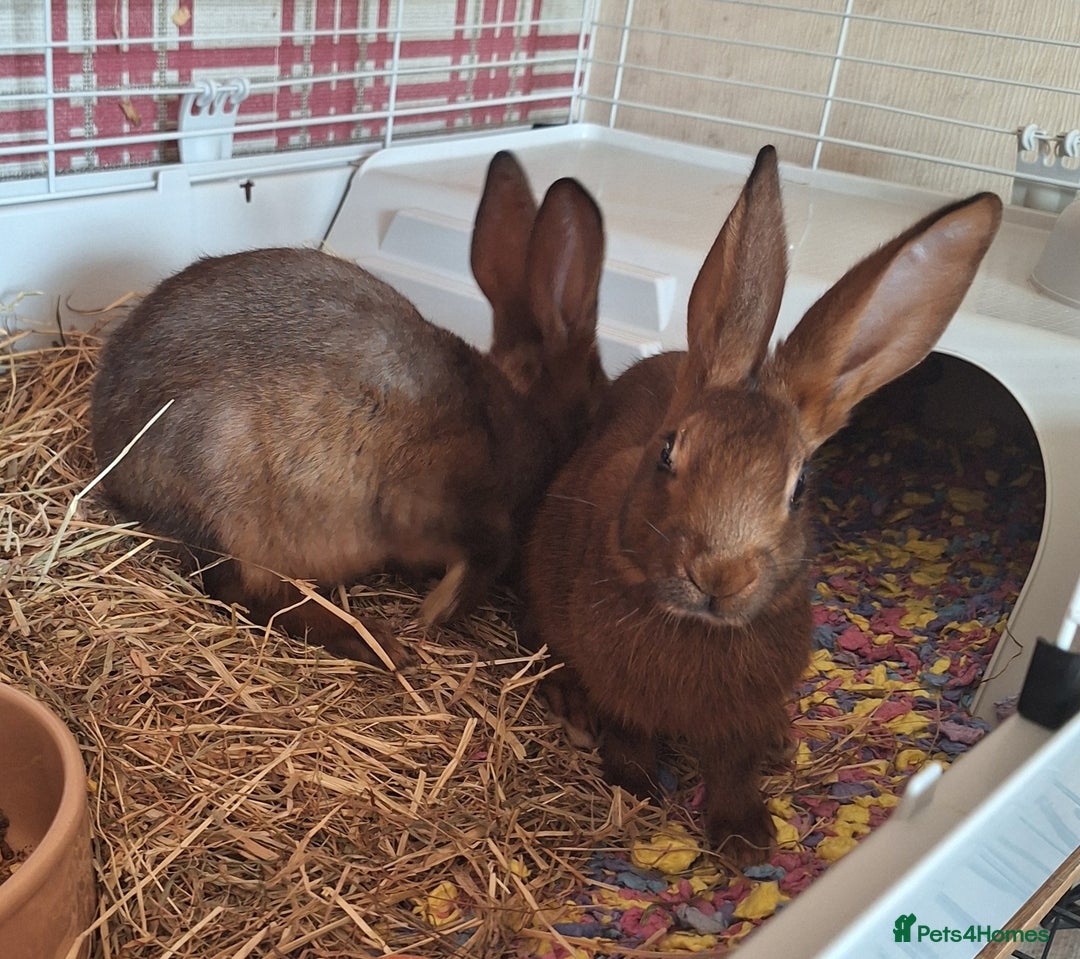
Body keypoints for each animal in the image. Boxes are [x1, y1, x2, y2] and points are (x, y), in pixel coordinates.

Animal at [91, 150, 608, 667]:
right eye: (593, 405)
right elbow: (486, 554)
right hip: (233, 503)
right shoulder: (439, 504)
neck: (520, 410)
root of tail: (115, 463)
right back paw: (374, 642)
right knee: (245, 592)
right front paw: (436, 612)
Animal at [521, 145, 1002, 866]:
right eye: (667, 452)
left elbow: (733, 765)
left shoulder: (736, 720)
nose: (719, 574)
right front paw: (638, 787)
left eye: (798, 487)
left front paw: (745, 838)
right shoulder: (621, 692)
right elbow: (631, 734)